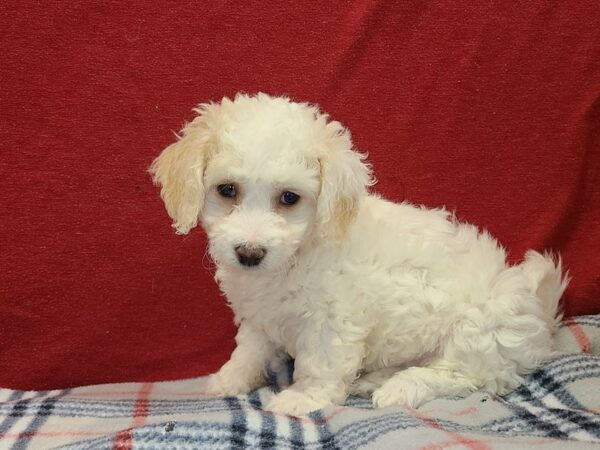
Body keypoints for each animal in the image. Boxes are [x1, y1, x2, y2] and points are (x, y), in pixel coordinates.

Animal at [150, 93, 568, 416]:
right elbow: (249, 350)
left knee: (465, 375)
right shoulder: (258, 316)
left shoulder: (332, 320)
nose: (249, 253)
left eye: (289, 198)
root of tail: (541, 316)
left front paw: (302, 398)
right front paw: (229, 379)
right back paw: (373, 380)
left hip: (480, 330)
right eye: (227, 190)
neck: (298, 254)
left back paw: (400, 387)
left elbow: (320, 364)